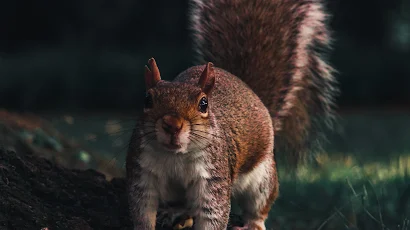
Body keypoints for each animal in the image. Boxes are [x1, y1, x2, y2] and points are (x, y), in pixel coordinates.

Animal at [126, 0, 338, 230]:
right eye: (147, 99)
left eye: (203, 104)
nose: (172, 124)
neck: (175, 156)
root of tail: (251, 93)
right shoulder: (141, 171)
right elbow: (141, 209)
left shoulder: (213, 175)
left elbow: (213, 212)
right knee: (185, 205)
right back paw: (177, 213)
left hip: (262, 179)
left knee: (259, 205)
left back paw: (253, 223)